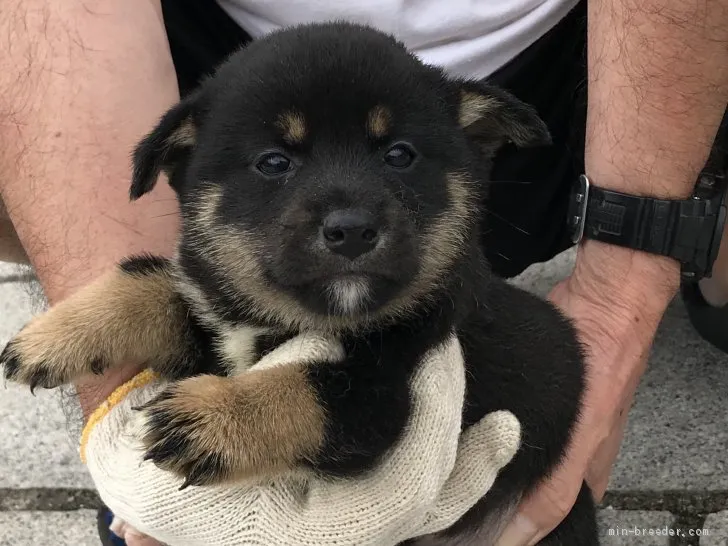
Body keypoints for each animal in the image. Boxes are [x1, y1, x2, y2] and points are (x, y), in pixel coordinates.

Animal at [1, 22, 596, 544]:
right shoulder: (216, 333)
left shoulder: (382, 399)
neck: (289, 319)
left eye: (399, 155)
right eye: (273, 162)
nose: (352, 229)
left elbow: (302, 388)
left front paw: (209, 421)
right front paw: (55, 336)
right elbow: (152, 282)